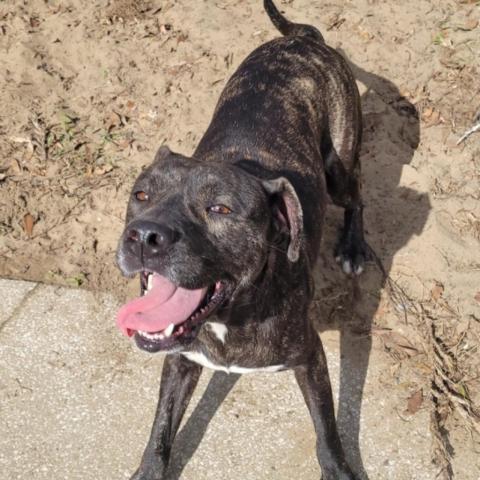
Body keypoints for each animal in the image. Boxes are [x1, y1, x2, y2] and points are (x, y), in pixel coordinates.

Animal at [116, 0, 368, 480]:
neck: (229, 317)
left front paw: (339, 469)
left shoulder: (311, 356)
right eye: (141, 195)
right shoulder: (180, 358)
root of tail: (305, 39)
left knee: (358, 196)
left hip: (339, 168)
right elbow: (161, 427)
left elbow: (327, 429)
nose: (143, 236)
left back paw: (354, 247)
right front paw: (150, 469)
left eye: (220, 209)